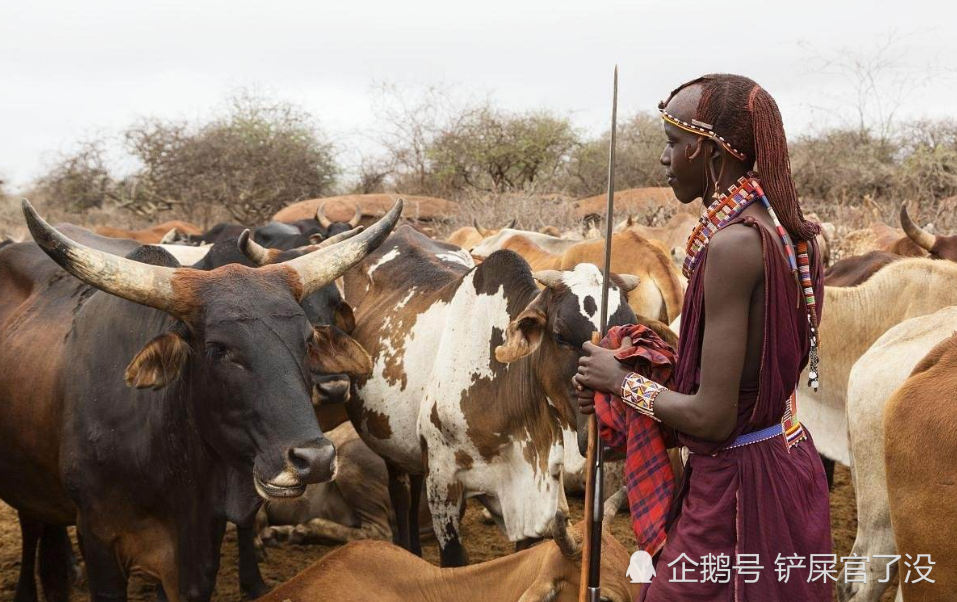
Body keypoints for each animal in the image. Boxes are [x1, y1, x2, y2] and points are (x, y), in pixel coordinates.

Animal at [340, 224, 640, 564]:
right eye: (560, 335)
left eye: (631, 332)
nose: (610, 433)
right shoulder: (443, 482)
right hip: (391, 450)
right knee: (402, 497)